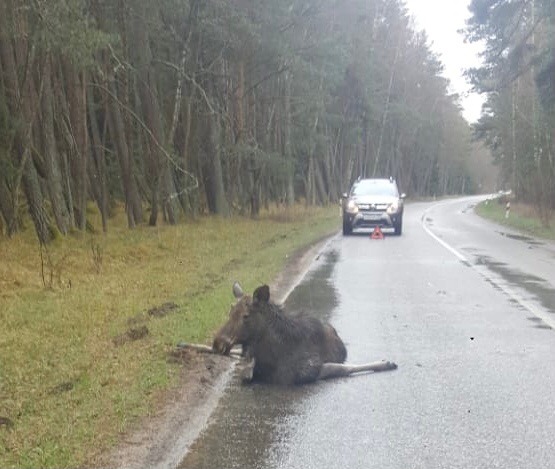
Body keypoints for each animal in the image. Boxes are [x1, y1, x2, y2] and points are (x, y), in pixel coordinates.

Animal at [211, 282, 398, 384]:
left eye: (246, 315)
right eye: (230, 310)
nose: (217, 342)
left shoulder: (310, 369)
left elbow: (344, 368)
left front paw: (386, 362)